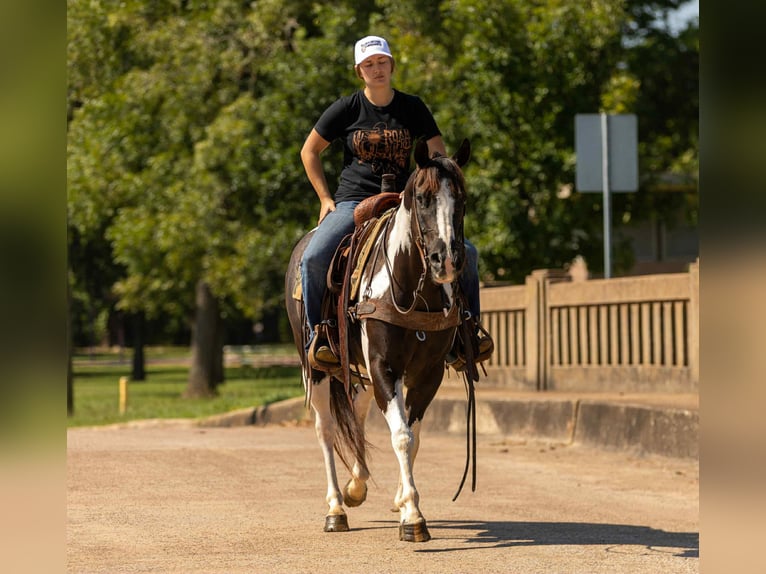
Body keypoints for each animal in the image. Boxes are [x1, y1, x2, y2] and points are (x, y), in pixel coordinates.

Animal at [285, 138, 472, 543]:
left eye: (462, 197)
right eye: (422, 197)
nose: (446, 260)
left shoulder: (426, 373)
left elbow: (413, 434)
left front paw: (403, 502)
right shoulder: (384, 366)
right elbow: (401, 435)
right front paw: (413, 517)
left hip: (361, 372)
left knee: (356, 413)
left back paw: (356, 486)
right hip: (316, 369)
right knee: (326, 429)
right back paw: (336, 508)